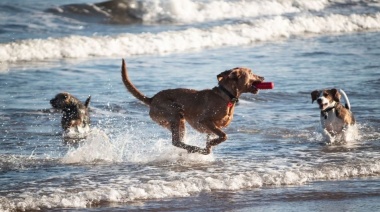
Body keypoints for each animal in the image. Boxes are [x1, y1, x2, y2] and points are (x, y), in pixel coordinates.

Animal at [121, 58, 264, 155]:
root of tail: (151, 99)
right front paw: (210, 145)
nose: (262, 77)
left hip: (179, 121)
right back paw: (194, 149)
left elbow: (211, 140)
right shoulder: (206, 121)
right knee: (176, 141)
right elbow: (223, 136)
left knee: (178, 141)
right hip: (174, 113)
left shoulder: (210, 129)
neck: (226, 96)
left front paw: (208, 147)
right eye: (251, 72)